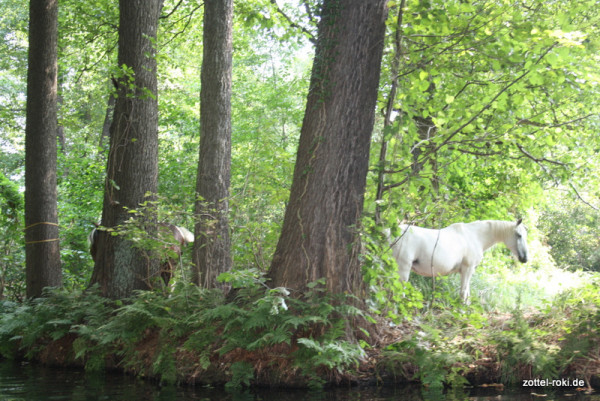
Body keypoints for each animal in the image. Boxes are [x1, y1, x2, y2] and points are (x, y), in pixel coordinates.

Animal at [386, 219, 528, 300]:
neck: (475, 236)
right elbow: (463, 293)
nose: (524, 258)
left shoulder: (468, 271)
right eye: (518, 235)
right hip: (403, 268)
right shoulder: (467, 269)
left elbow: (467, 293)